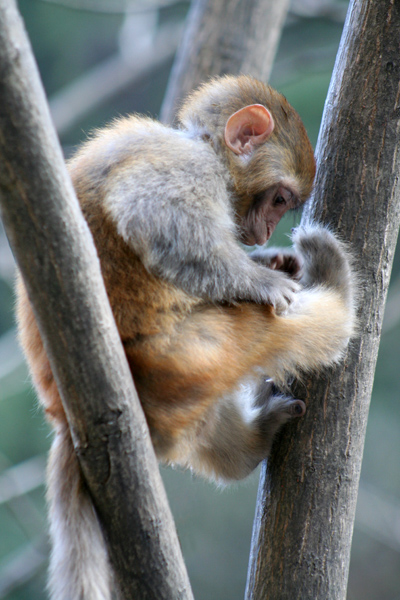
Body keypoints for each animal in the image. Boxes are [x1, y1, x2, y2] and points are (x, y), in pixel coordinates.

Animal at [15, 76, 356, 600]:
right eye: (280, 199)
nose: (264, 233)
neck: (204, 146)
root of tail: (64, 416)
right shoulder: (190, 169)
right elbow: (153, 216)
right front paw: (263, 279)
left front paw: (273, 261)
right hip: (184, 356)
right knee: (282, 326)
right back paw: (335, 281)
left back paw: (247, 446)